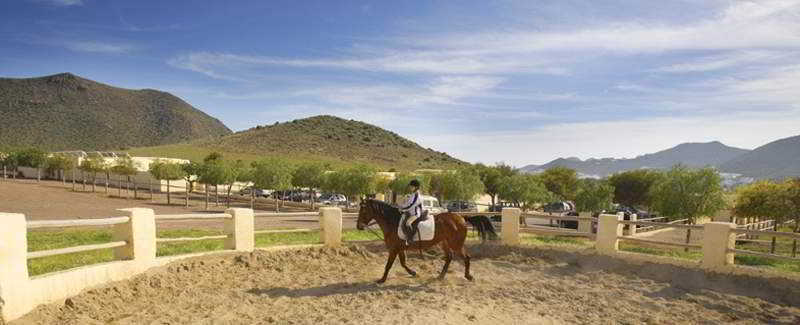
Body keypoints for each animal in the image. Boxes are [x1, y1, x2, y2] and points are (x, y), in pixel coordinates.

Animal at [358, 197, 490, 280]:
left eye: (363, 210)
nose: (359, 226)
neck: (393, 222)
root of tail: (461, 217)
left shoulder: (394, 249)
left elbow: (389, 265)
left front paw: (382, 280)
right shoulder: (399, 248)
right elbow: (403, 263)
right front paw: (413, 273)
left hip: (456, 244)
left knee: (466, 257)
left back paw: (468, 276)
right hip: (444, 242)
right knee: (449, 257)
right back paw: (440, 276)